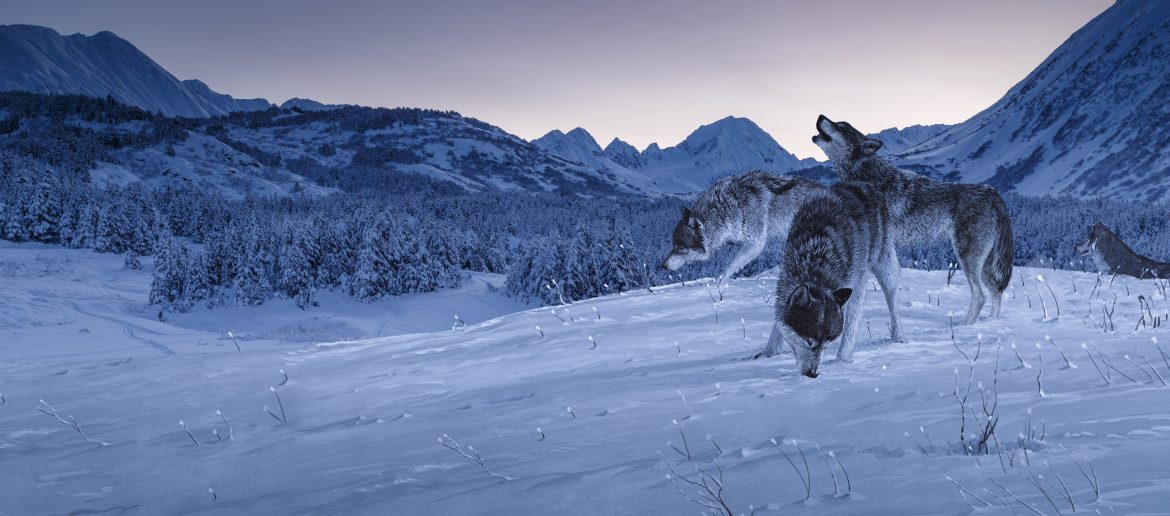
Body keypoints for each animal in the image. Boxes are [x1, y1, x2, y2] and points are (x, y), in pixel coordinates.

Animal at [660, 170, 824, 283]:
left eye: (680, 248)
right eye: (672, 245)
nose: (663, 266)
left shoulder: (755, 244)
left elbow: (730, 266)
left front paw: (717, 283)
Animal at [772, 181, 901, 378]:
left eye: (827, 344)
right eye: (808, 341)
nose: (813, 374)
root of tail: (863, 184)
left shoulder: (858, 279)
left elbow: (851, 325)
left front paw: (842, 361)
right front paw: (767, 353)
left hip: (884, 265)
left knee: (893, 298)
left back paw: (900, 337)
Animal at [813, 115, 1014, 324]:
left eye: (841, 127)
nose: (820, 116)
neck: (866, 178)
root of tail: (993, 192)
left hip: (967, 256)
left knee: (980, 295)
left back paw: (964, 326)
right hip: (985, 264)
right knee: (996, 291)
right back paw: (991, 322)